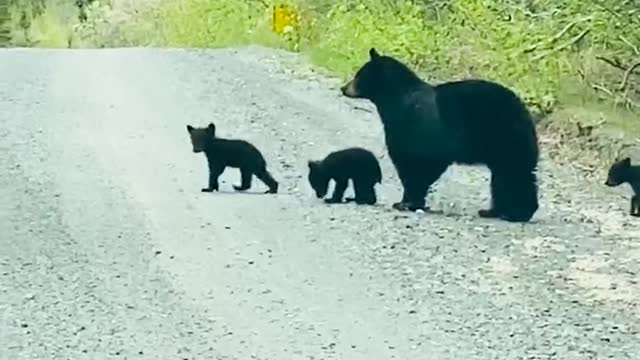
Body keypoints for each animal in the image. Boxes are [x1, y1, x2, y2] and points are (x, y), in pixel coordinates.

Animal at [340, 47, 540, 222]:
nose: (343, 88)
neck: (395, 101)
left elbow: (413, 166)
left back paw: (516, 213)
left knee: (514, 173)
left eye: (358, 75)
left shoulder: (412, 130)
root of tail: (524, 112)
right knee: (503, 177)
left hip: (506, 139)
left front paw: (406, 202)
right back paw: (493, 211)